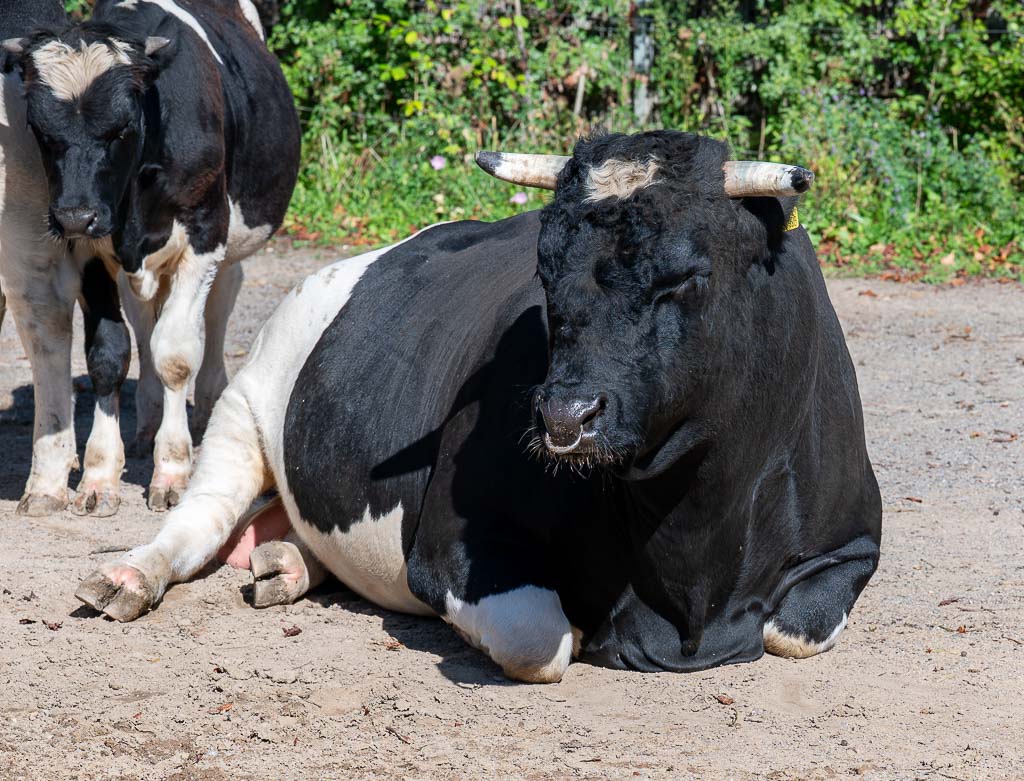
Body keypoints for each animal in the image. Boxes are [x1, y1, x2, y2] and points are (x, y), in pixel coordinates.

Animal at [2, 0, 301, 514]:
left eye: (122, 127)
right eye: (39, 131)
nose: (75, 215)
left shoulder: (204, 235)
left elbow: (176, 355)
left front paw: (173, 470)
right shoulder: (89, 255)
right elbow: (108, 354)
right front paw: (100, 475)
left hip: (230, 238)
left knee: (219, 305)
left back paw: (205, 406)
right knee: (144, 323)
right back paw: (148, 421)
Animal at [76, 131, 882, 683]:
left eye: (685, 276)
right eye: (544, 273)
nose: (564, 418)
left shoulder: (853, 547)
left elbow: (792, 631)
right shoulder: (448, 550)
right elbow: (544, 642)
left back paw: (287, 562)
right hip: (244, 406)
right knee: (199, 518)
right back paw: (128, 577)